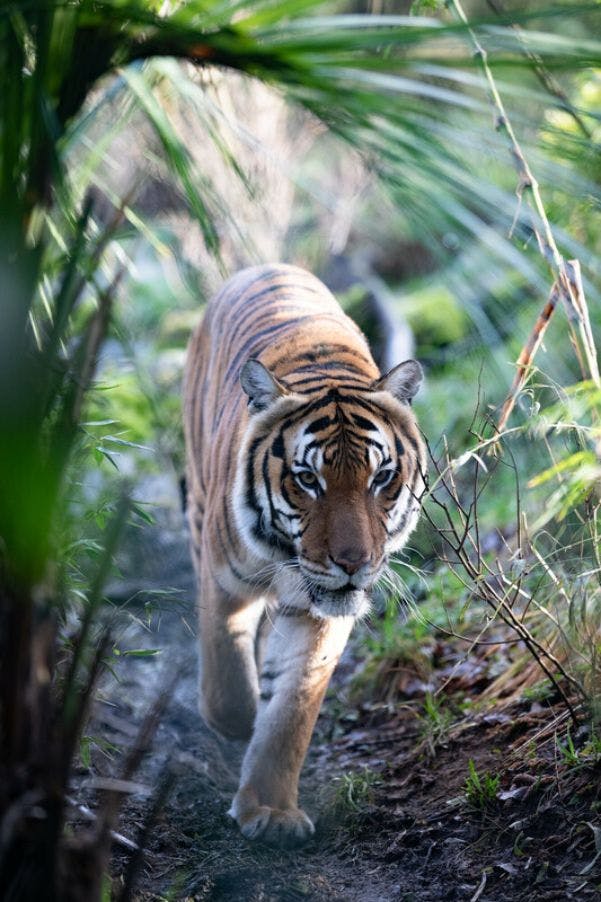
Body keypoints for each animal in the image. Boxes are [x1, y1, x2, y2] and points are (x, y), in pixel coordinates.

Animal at [183, 263, 426, 848]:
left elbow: (292, 706)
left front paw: (271, 811)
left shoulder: (322, 612)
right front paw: (240, 723)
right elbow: (227, 686)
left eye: (381, 477)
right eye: (308, 479)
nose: (353, 563)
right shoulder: (223, 581)